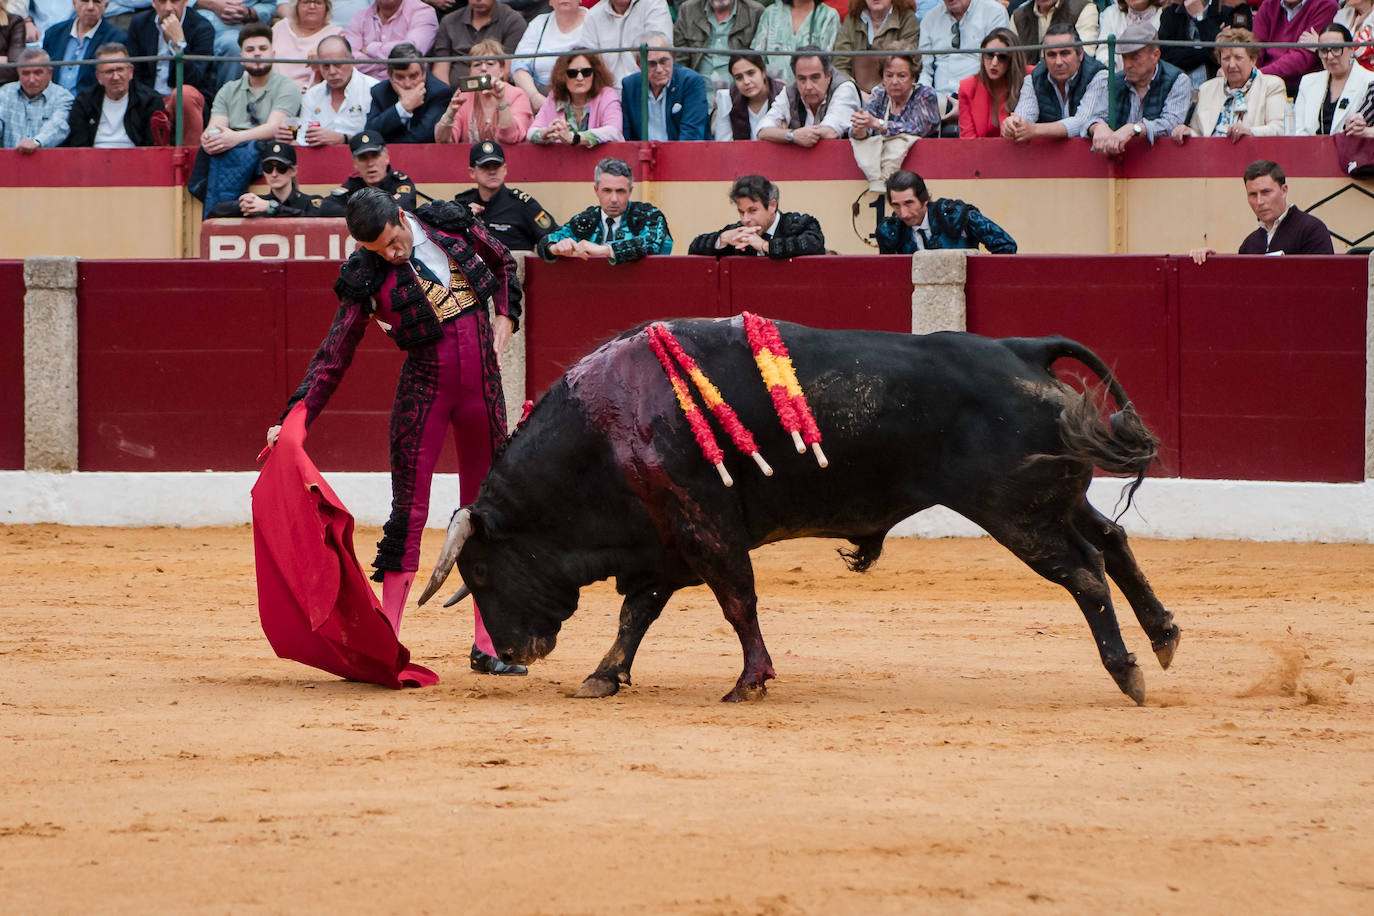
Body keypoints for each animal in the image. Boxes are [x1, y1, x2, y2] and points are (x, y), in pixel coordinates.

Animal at [417, 318, 1181, 708]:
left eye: (480, 574)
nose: (513, 652)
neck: (606, 429)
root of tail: (1020, 348)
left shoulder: (704, 530)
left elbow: (737, 601)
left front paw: (749, 682)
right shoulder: (665, 543)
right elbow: (638, 614)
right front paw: (603, 676)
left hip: (1015, 512)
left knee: (1083, 571)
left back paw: (1128, 671)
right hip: (1053, 498)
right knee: (1112, 539)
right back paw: (1165, 637)